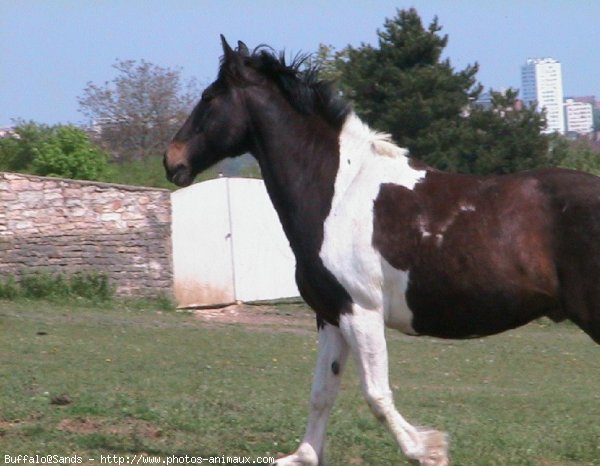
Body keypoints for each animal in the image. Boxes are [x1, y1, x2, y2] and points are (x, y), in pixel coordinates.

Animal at [164, 37, 600, 466]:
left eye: (209, 97)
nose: (172, 161)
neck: (338, 193)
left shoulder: (361, 311)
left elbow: (376, 394)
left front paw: (428, 449)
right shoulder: (330, 314)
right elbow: (322, 392)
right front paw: (304, 455)